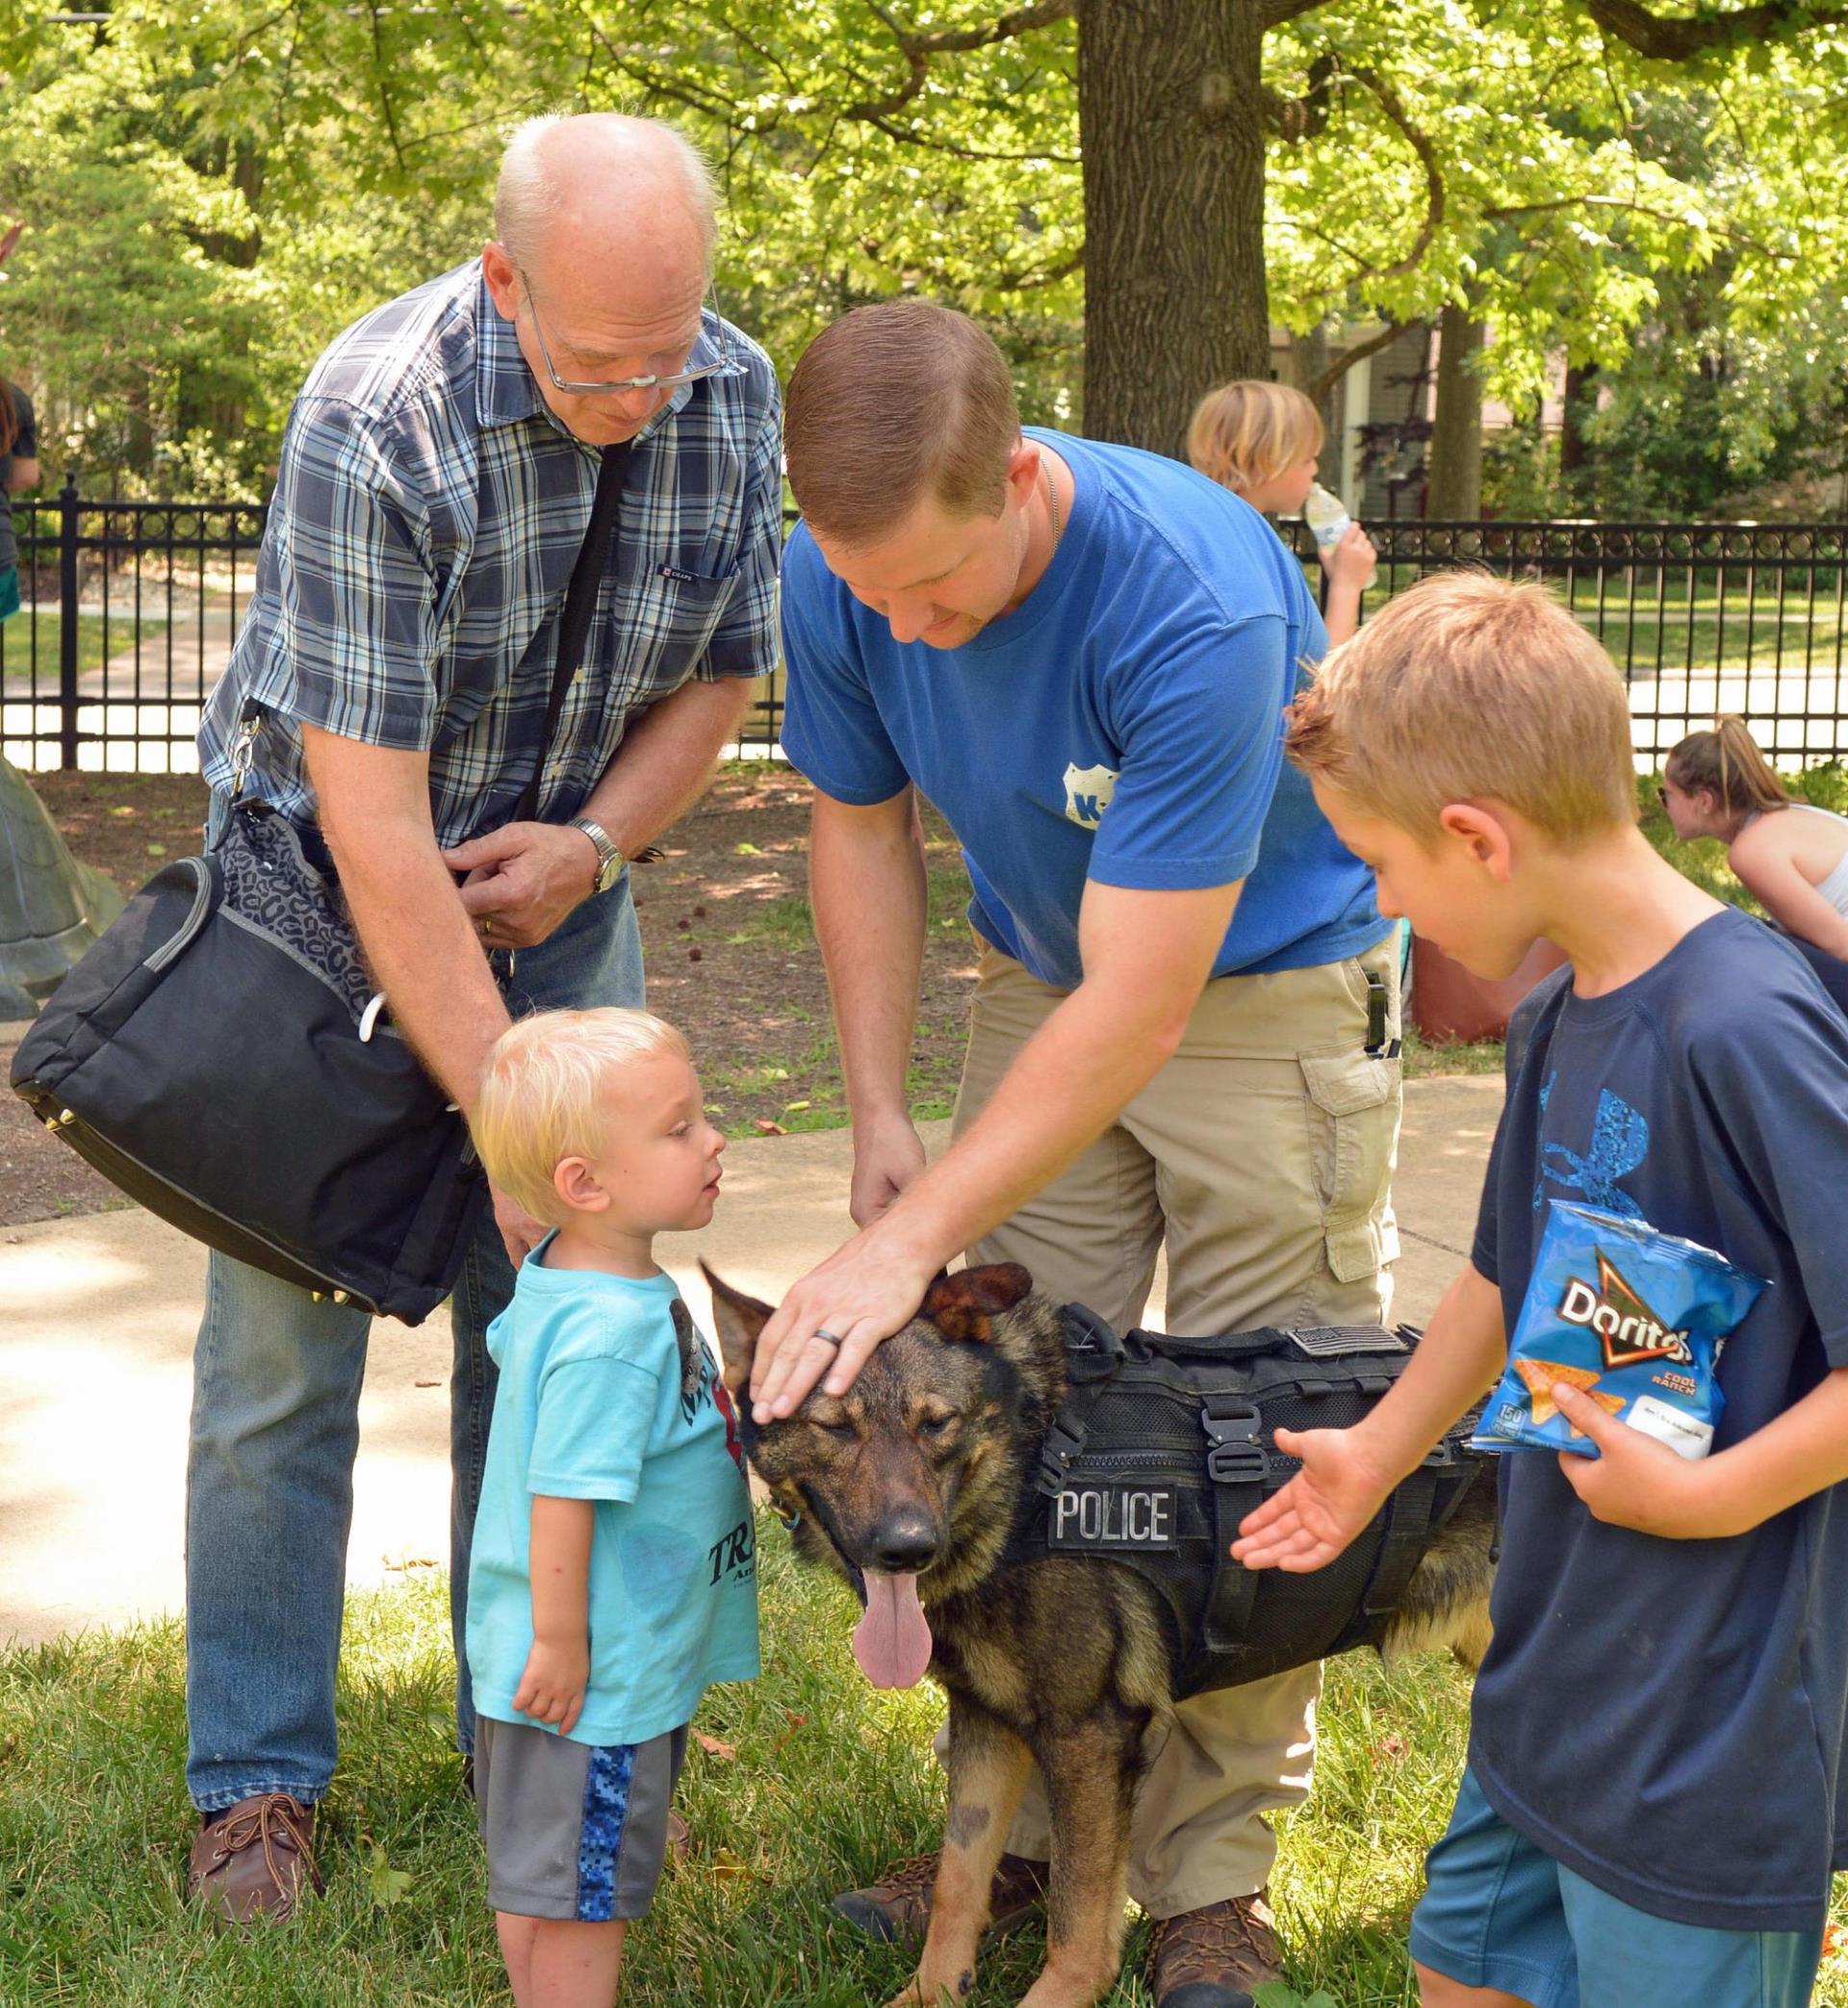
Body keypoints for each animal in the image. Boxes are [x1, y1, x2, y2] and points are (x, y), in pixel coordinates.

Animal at [699, 1269, 1494, 2008]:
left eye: (936, 1424)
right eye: (836, 1427)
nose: (907, 1550)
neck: (1029, 1473)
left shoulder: (1091, 1739)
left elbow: (1078, 1920)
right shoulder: (988, 1726)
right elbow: (960, 1879)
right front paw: (931, 1991)